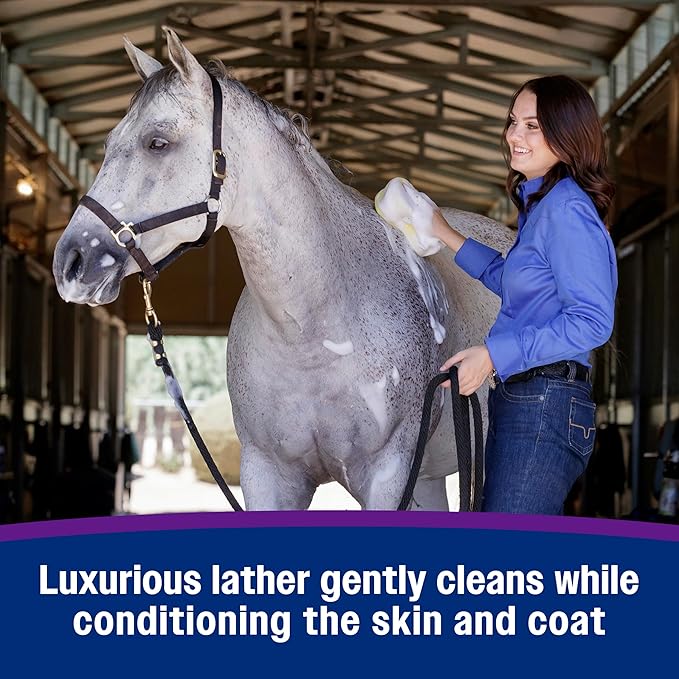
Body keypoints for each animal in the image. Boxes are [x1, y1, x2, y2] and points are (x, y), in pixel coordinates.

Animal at [52, 29, 515, 510]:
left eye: (157, 142)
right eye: (109, 144)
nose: (71, 261)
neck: (314, 329)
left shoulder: (389, 475)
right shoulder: (266, 474)